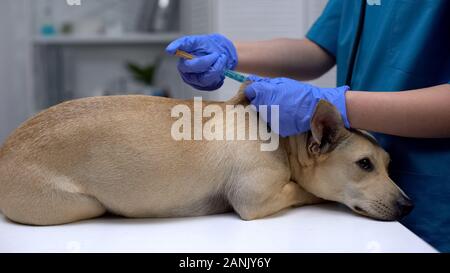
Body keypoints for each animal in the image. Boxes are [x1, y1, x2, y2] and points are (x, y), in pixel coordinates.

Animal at [0, 85, 412, 225]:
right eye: (364, 165)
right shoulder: (254, 201)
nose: (409, 206)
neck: (280, 139)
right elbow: (302, 190)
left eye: (389, 165)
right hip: (81, 204)